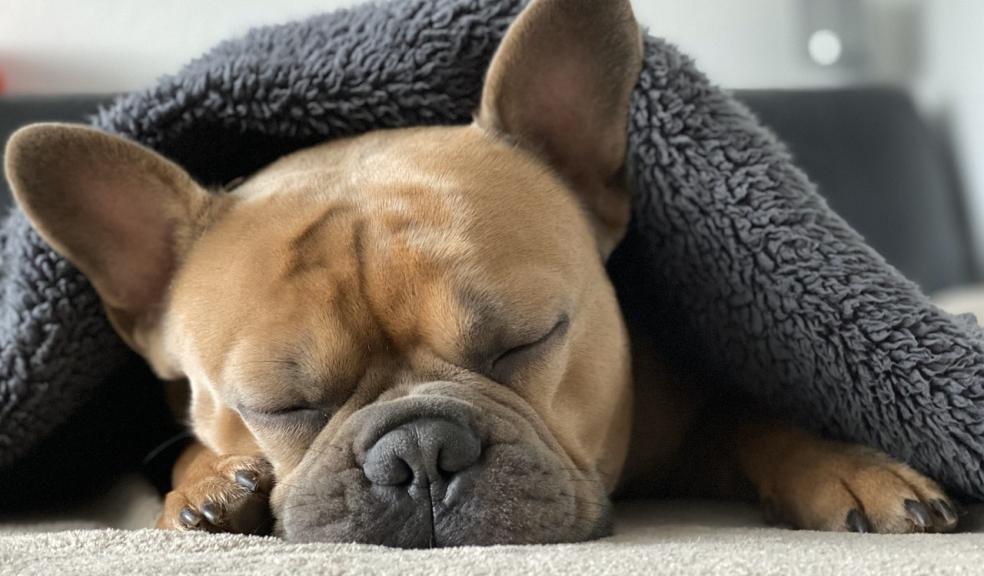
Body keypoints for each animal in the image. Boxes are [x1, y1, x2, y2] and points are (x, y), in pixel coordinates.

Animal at [5, 0, 960, 544]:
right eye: (278, 404)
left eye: (527, 342)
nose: (420, 452)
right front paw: (209, 485)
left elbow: (753, 414)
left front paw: (849, 467)